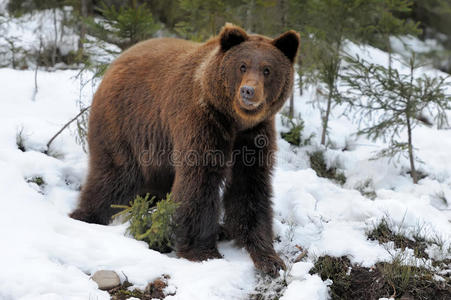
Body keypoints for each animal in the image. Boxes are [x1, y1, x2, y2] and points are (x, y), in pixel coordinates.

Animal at [70, 23, 300, 276]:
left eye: (267, 69)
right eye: (242, 65)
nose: (248, 91)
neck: (233, 120)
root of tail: (116, 61)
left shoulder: (254, 137)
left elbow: (250, 188)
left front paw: (268, 257)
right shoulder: (201, 121)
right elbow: (199, 181)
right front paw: (203, 252)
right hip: (125, 123)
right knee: (114, 176)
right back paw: (87, 215)